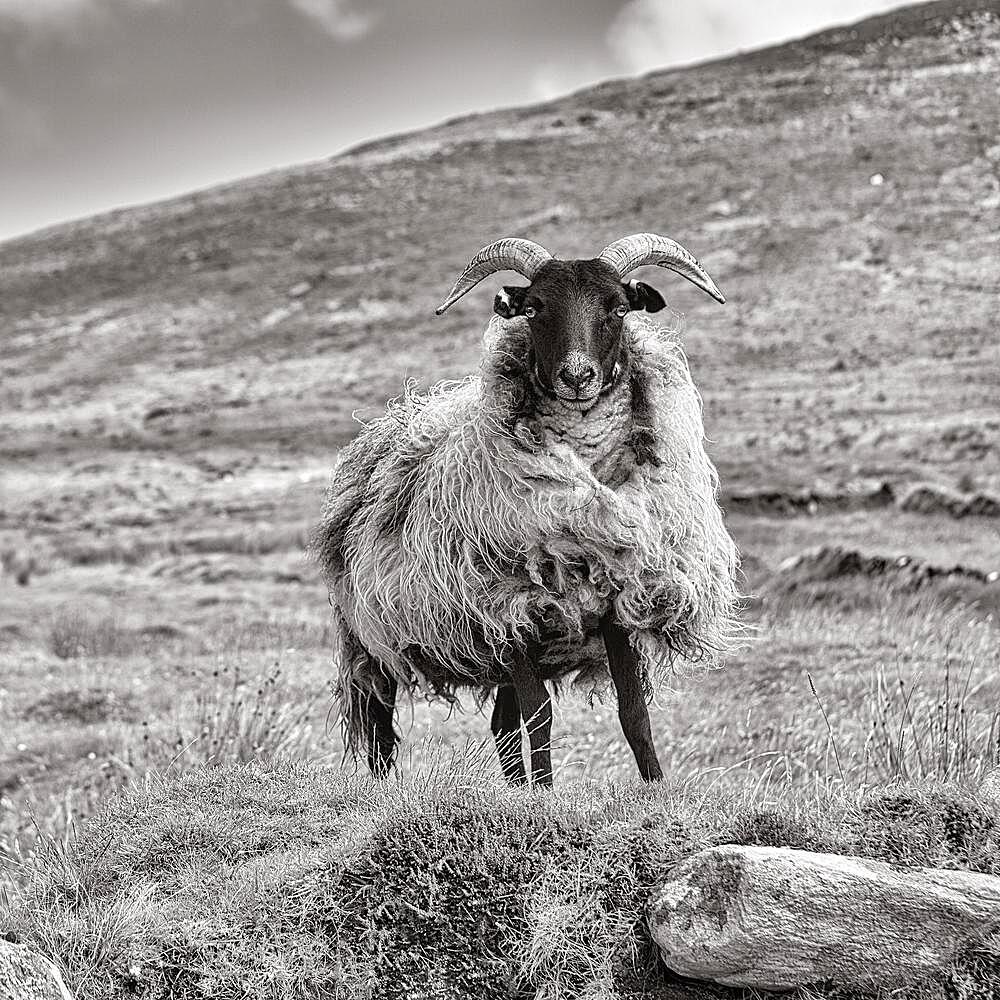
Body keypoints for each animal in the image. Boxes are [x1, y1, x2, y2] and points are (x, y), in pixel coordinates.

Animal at [312, 230, 744, 784]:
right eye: (535, 308)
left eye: (618, 308)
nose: (577, 376)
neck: (581, 493)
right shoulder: (506, 606)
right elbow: (540, 715)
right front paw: (545, 793)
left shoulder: (619, 601)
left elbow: (632, 711)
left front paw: (654, 788)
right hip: (371, 638)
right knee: (377, 722)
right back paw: (388, 787)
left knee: (500, 722)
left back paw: (515, 786)